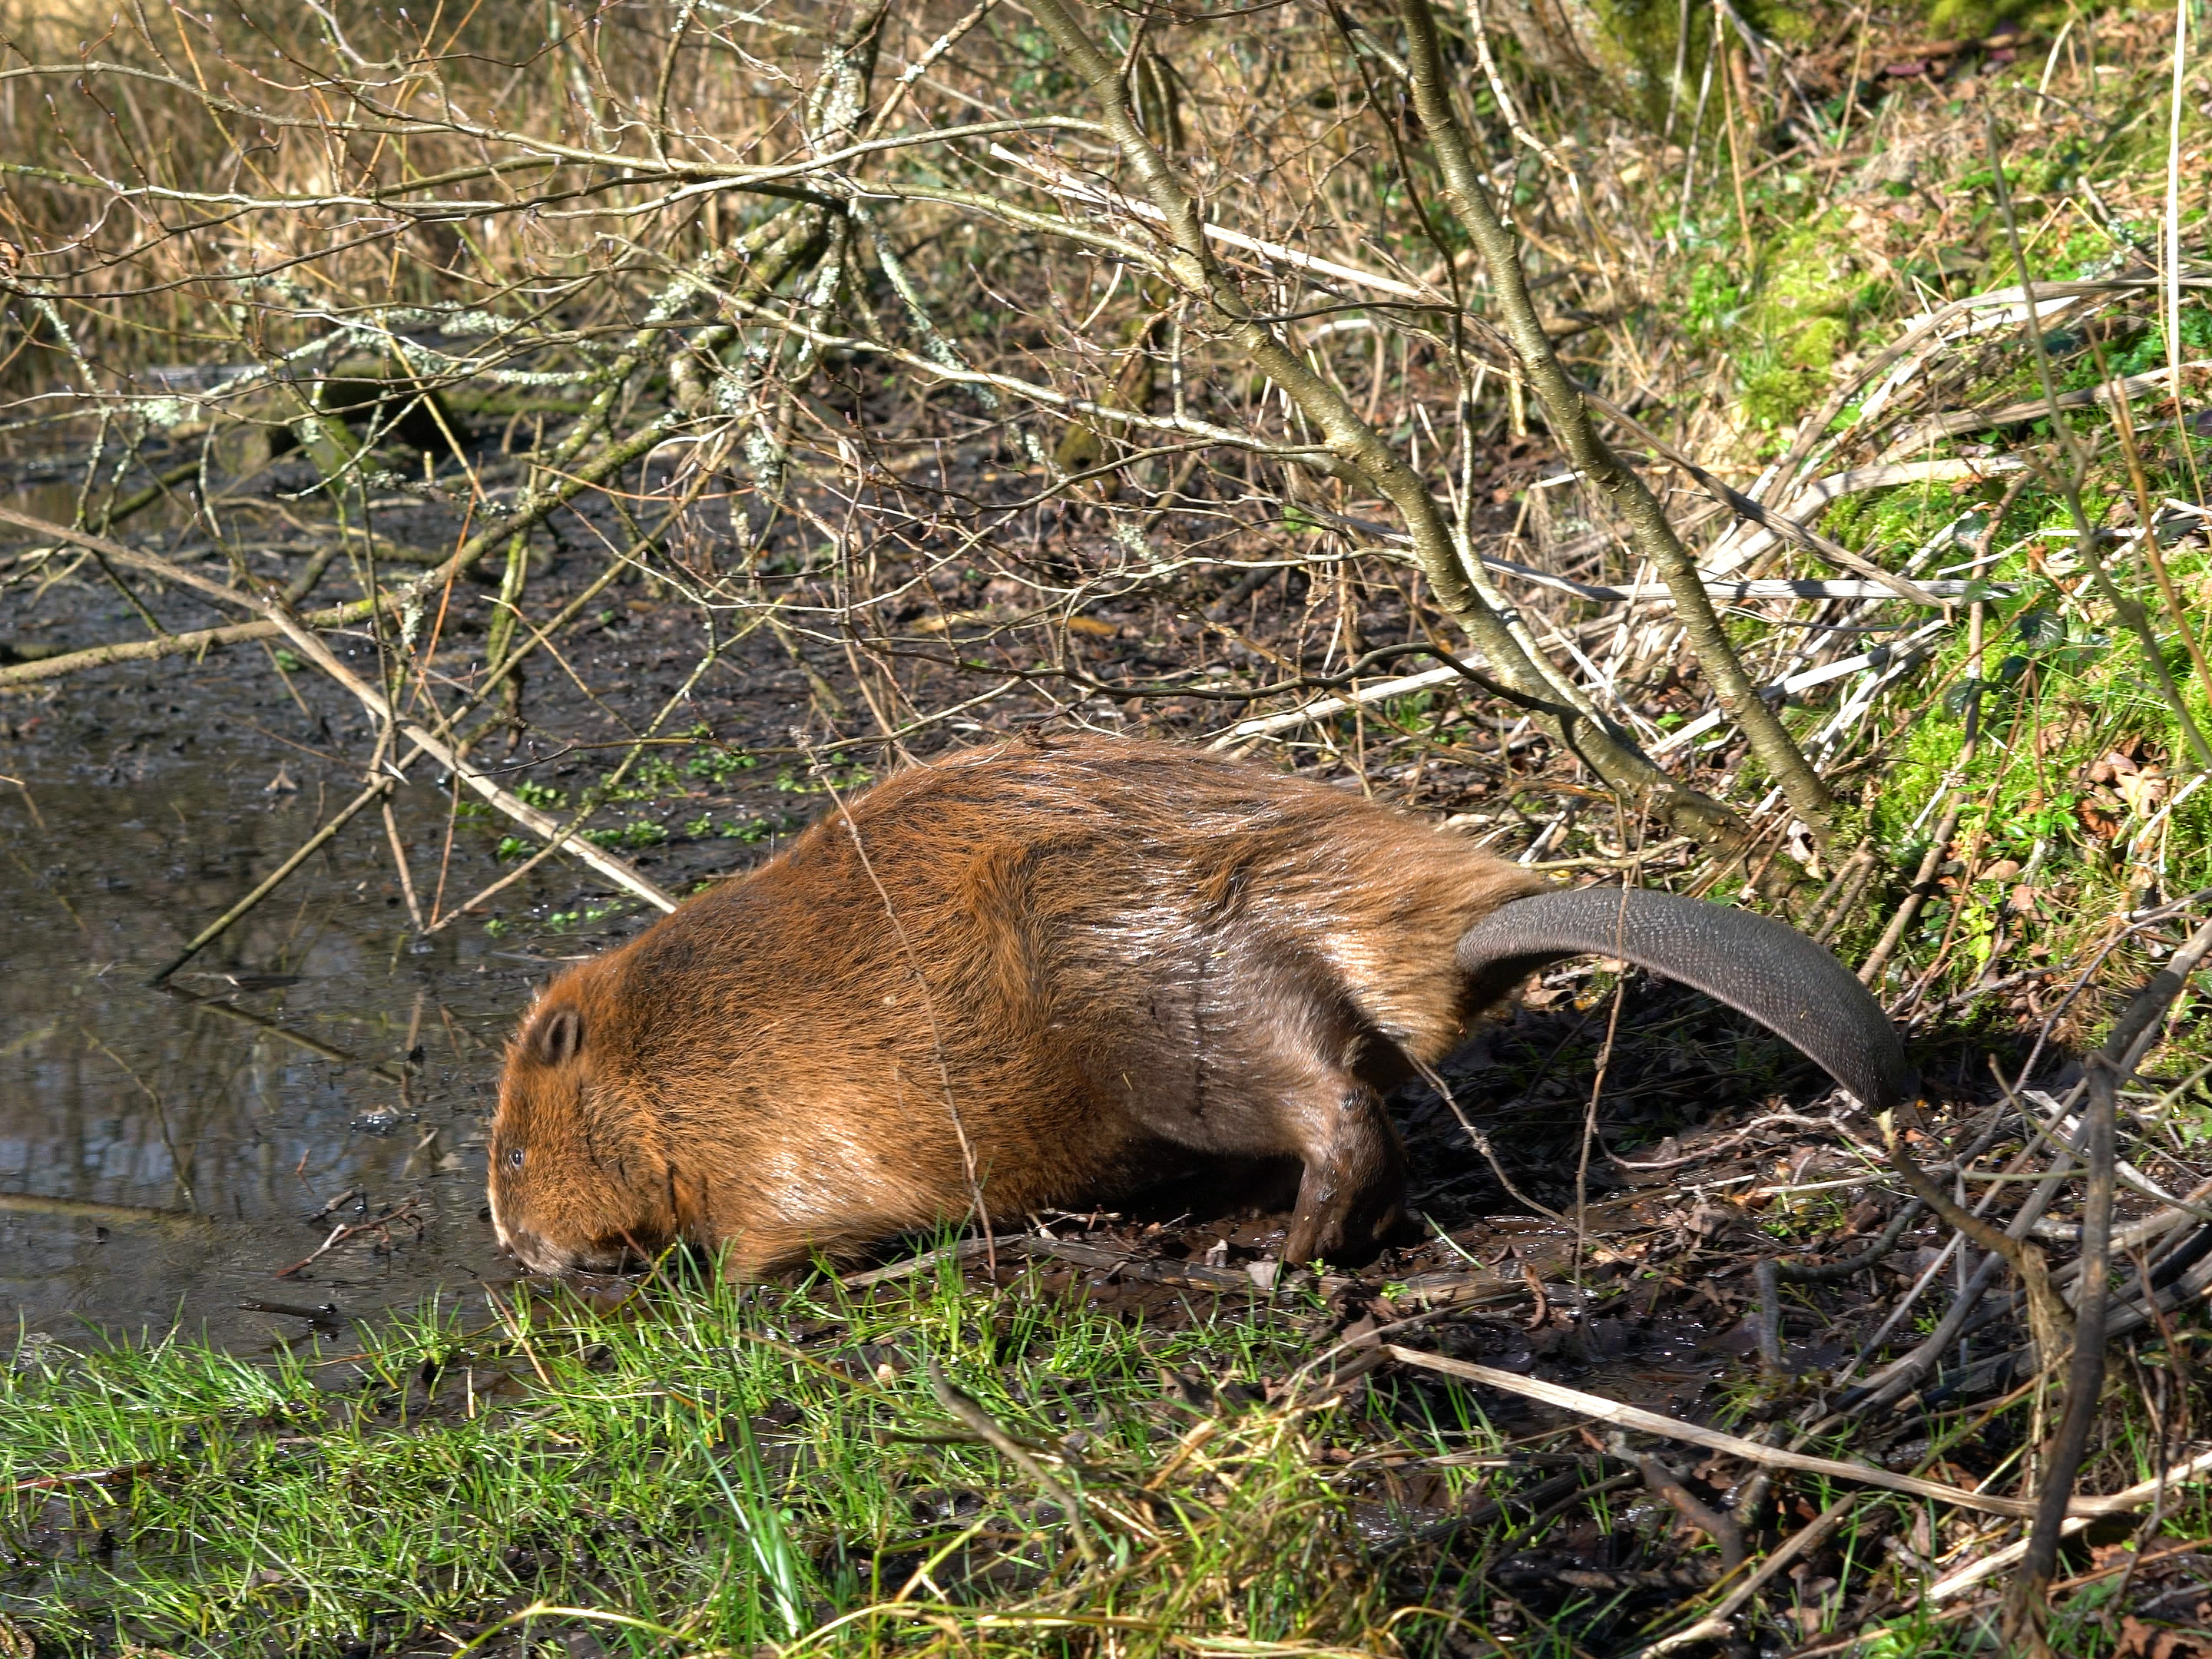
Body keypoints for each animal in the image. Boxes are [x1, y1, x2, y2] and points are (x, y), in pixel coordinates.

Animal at [493, 734, 1911, 1283]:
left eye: (507, 1153)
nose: (512, 1241)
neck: (674, 1048)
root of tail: (1455, 927)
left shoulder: (783, 1133)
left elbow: (773, 1239)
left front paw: (704, 1285)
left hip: (1179, 1016)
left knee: (1340, 1113)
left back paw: (1279, 1255)